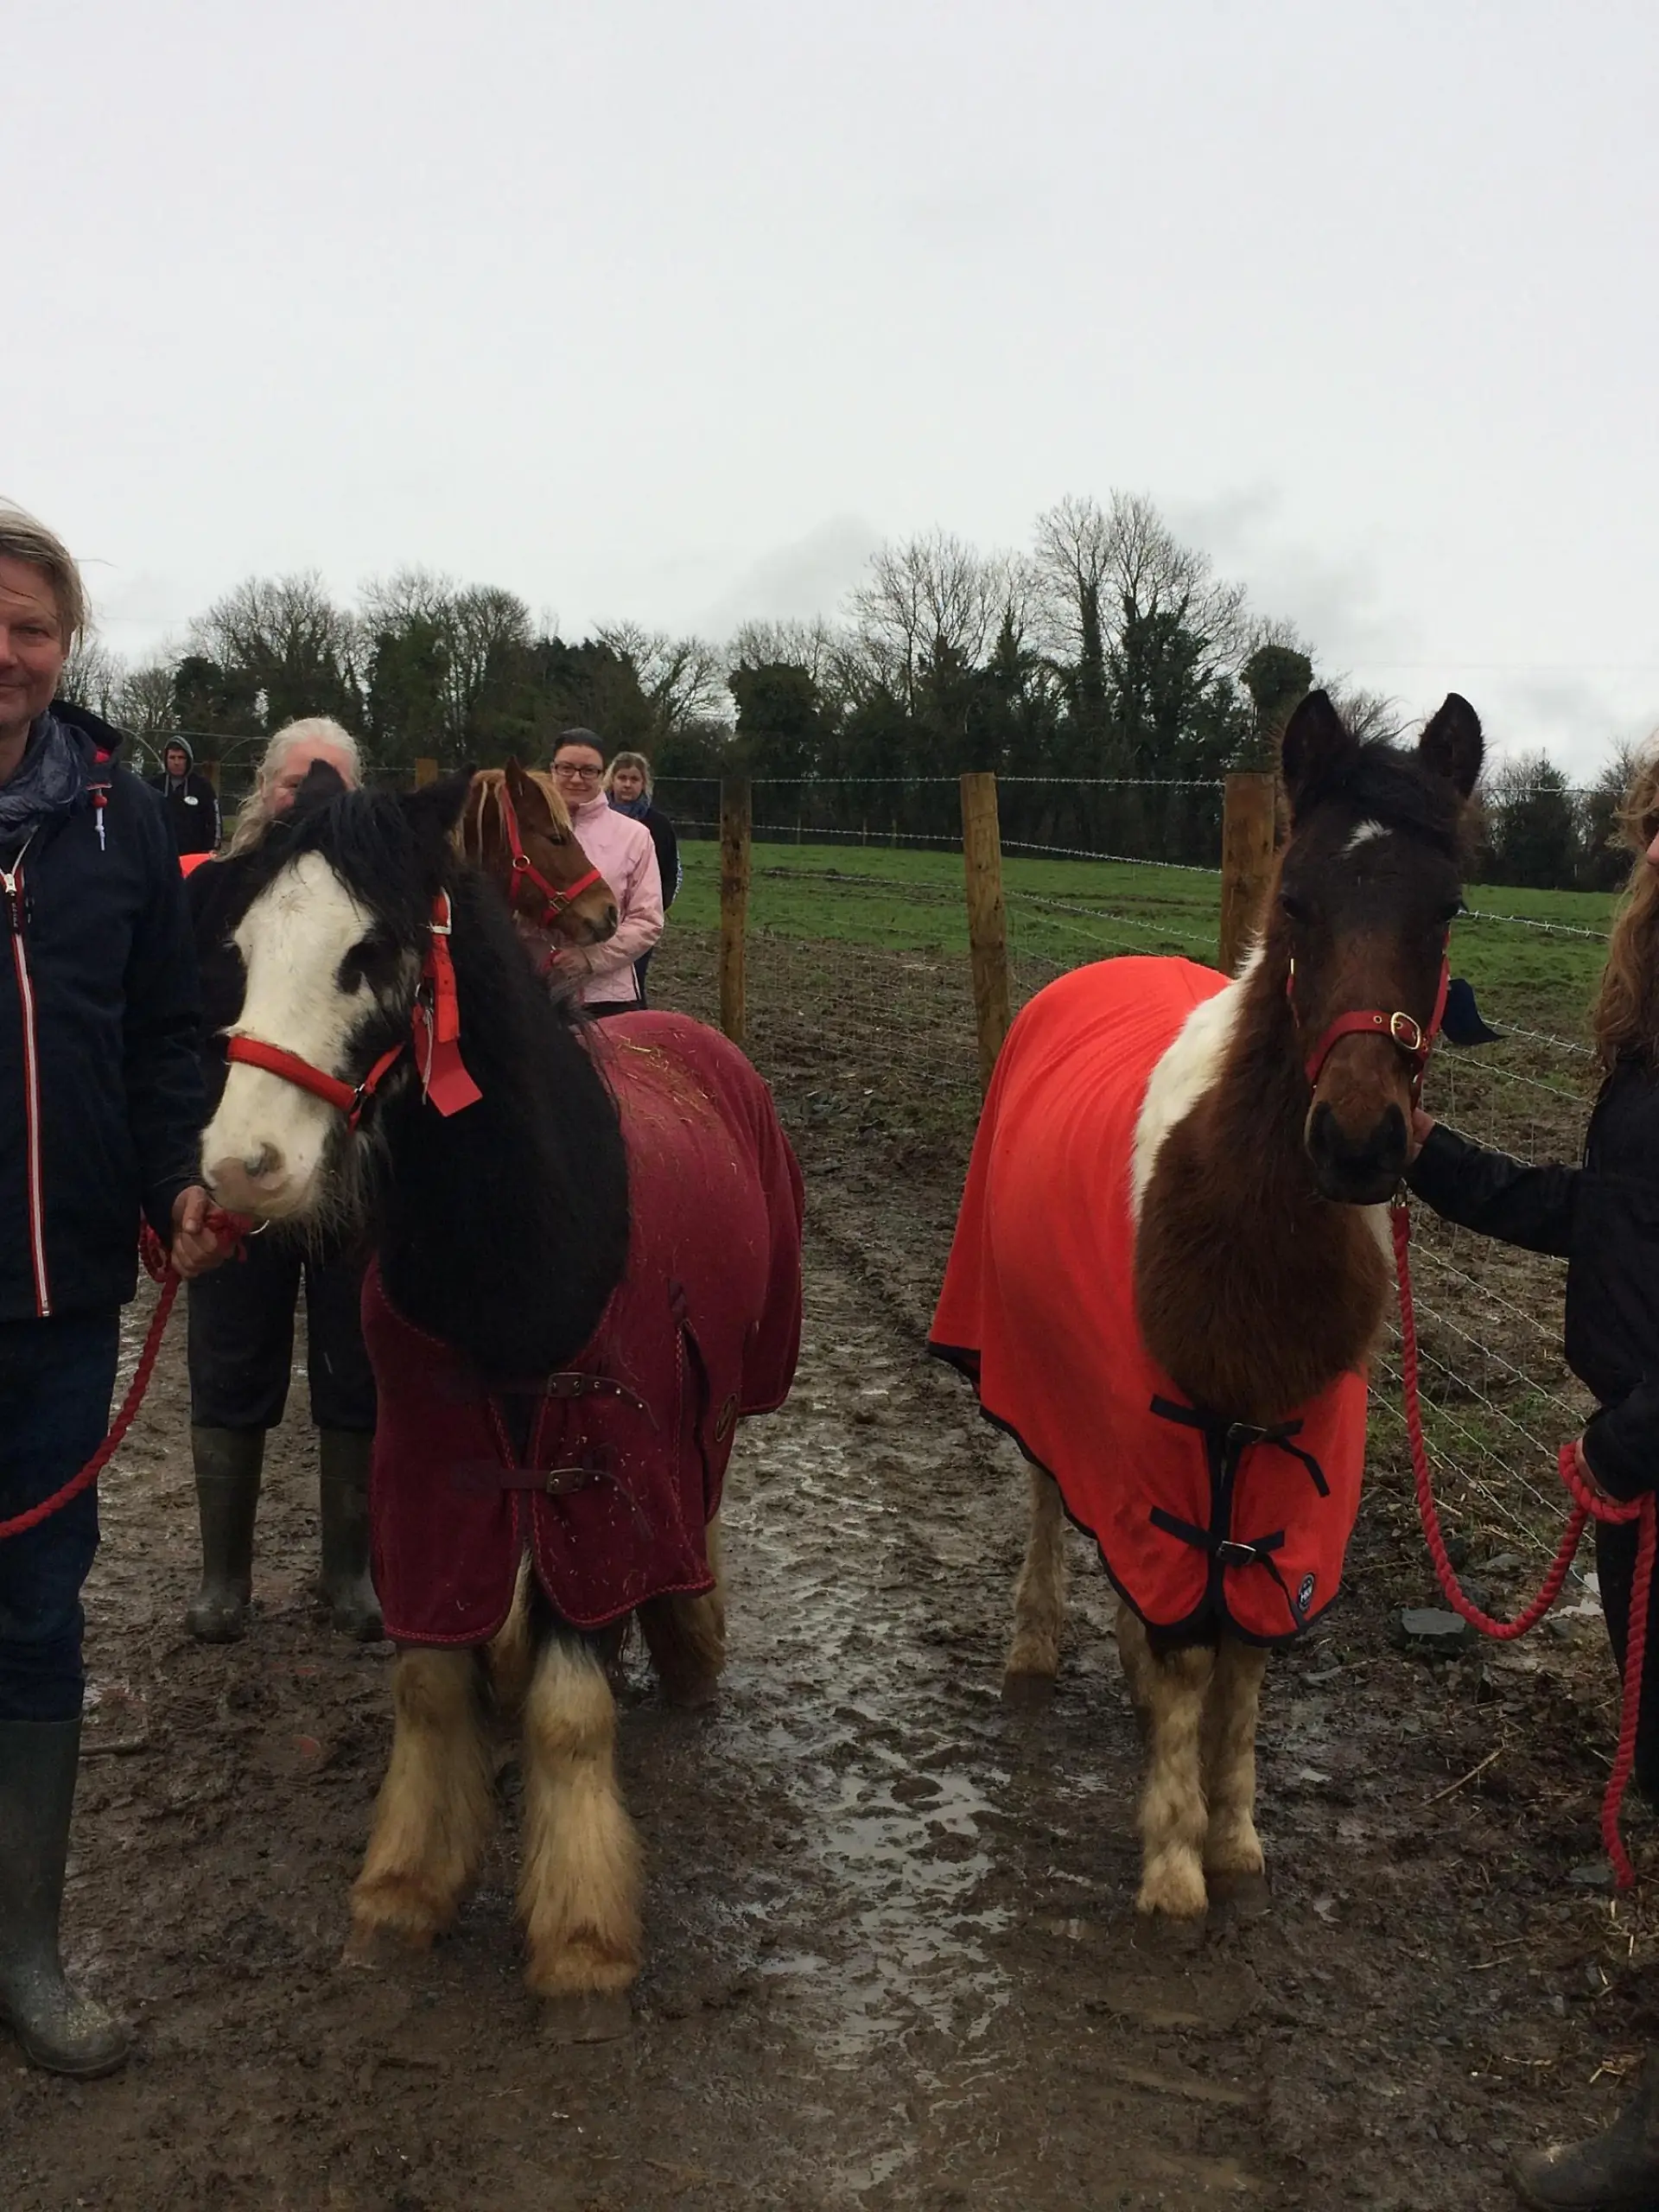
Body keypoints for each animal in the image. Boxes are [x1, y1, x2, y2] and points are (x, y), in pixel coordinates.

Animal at [196, 768, 803, 2035]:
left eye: (370, 950)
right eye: (240, 948)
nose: (241, 1166)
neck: (522, 1239)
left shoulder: (602, 1462)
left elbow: (573, 1708)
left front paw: (580, 1939)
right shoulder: (433, 1470)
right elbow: (432, 1681)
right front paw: (405, 1885)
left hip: (709, 1409)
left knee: (700, 1515)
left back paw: (690, 1642)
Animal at [931, 690, 1482, 1919]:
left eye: (1447, 908)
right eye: (1296, 898)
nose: (1360, 1141)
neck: (1240, 1228)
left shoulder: (1291, 1450)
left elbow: (1248, 1645)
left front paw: (1233, 1833)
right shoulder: (1147, 1421)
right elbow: (1194, 1646)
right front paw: (1175, 1859)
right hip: (1046, 1367)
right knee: (1049, 1490)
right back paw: (1036, 1643)